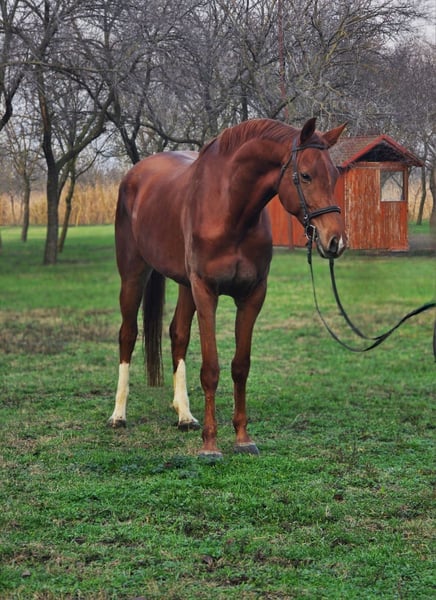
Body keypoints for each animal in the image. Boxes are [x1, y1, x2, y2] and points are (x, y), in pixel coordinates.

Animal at [108, 117, 347, 458]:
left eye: (336, 174)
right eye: (305, 175)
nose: (335, 241)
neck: (230, 209)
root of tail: (135, 174)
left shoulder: (252, 296)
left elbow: (240, 366)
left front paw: (243, 439)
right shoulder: (207, 293)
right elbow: (211, 369)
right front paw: (210, 445)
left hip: (185, 285)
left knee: (178, 335)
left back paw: (184, 415)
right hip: (133, 275)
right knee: (127, 334)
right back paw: (118, 415)